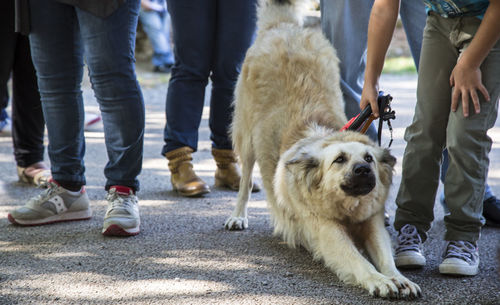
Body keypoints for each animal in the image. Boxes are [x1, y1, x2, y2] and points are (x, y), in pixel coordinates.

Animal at [226, 0, 422, 296]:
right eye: (339, 159)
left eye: (369, 158)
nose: (363, 170)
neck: (347, 206)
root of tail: (283, 26)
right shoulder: (327, 231)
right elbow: (357, 260)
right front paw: (379, 280)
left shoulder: (372, 223)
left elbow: (385, 255)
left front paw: (398, 277)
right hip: (246, 137)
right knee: (246, 181)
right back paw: (238, 216)